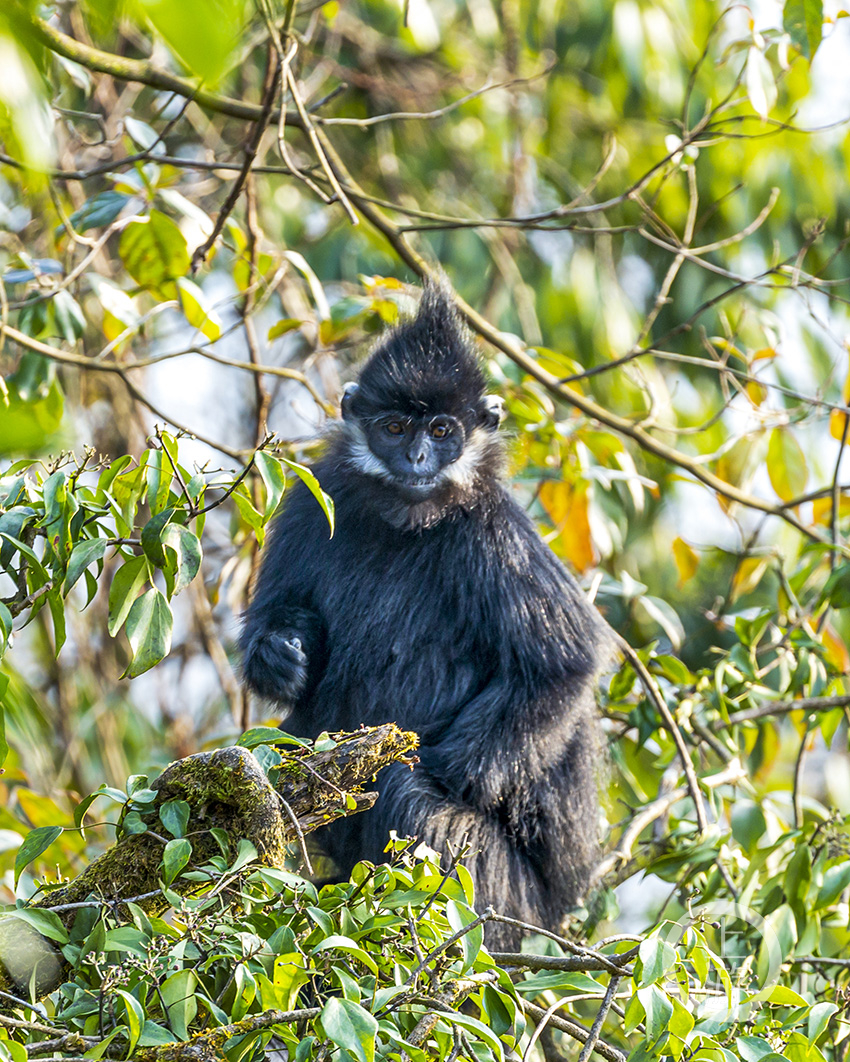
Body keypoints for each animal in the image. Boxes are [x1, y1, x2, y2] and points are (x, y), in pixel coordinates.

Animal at [241, 282, 612, 947]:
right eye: (394, 427)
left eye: (442, 430)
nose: (416, 456)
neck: (406, 520)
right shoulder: (316, 495)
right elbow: (275, 621)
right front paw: (283, 655)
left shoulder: (493, 530)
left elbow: (564, 663)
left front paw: (439, 768)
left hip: (503, 894)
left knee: (410, 797)